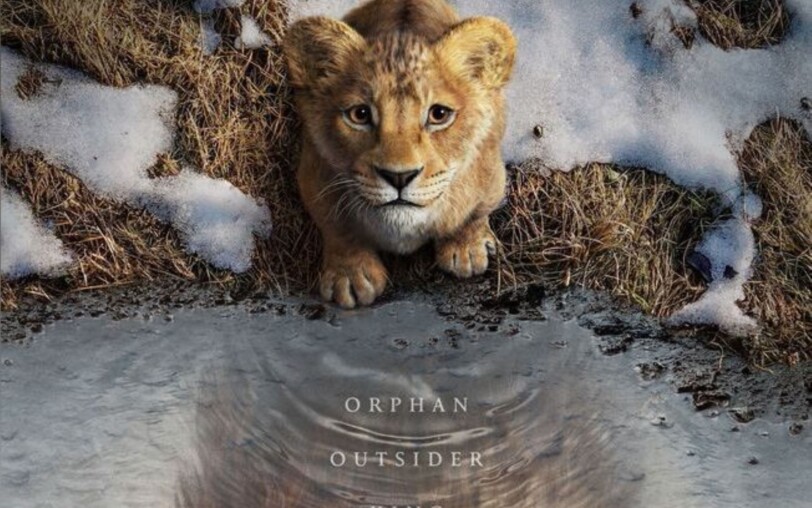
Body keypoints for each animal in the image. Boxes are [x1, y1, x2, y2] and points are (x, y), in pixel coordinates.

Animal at [284, 0, 517, 308]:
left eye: (439, 114)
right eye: (360, 114)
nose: (399, 177)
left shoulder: (491, 175)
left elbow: (475, 212)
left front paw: (467, 249)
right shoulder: (313, 175)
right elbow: (336, 226)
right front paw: (351, 276)